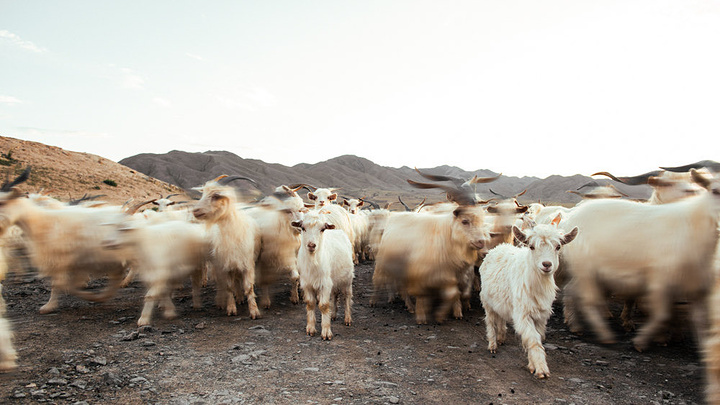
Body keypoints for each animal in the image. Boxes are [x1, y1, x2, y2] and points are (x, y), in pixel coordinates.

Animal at [292, 210, 354, 340]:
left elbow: (324, 305)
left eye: (322, 229)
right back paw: (333, 315)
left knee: (347, 296)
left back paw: (347, 319)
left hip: (347, 279)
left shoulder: (324, 284)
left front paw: (326, 332)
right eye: (303, 228)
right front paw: (310, 329)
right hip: (333, 280)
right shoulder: (307, 284)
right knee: (335, 294)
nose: (311, 245)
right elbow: (310, 304)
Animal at [478, 216, 580, 378]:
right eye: (531, 247)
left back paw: (501, 338)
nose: (546, 264)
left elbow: (536, 336)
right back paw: (493, 345)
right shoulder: (522, 314)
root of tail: (498, 247)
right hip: (486, 301)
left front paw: (533, 365)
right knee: (490, 321)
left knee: (500, 317)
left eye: (558, 247)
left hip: (500, 301)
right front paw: (541, 369)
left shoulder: (540, 316)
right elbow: (532, 338)